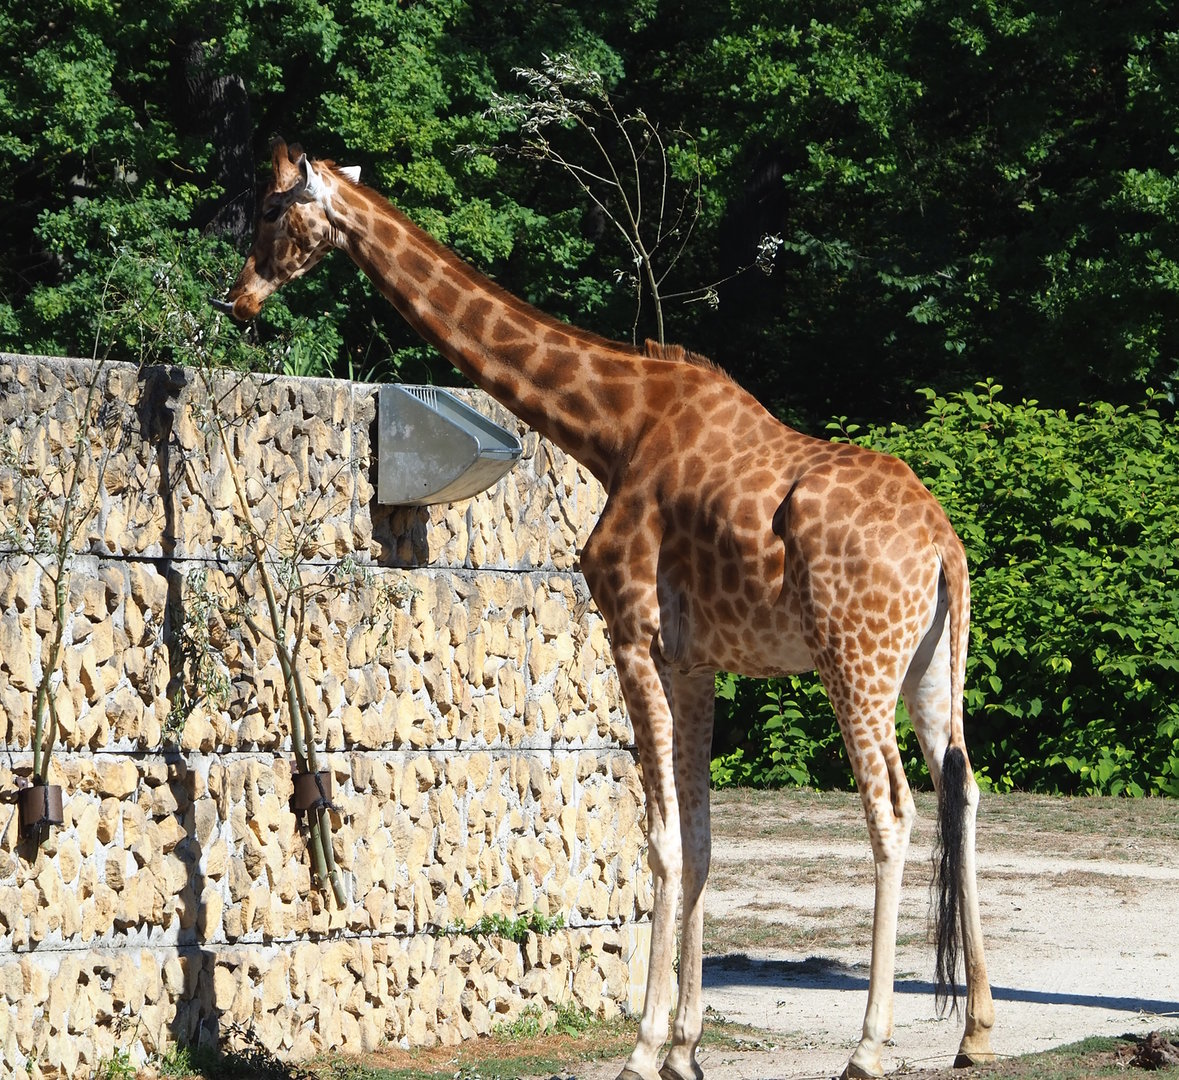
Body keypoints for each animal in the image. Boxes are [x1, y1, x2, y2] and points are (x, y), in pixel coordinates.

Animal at [215, 139, 995, 1080]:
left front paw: (645, 1046)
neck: (612, 427)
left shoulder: (630, 633)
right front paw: (687, 1047)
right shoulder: (695, 659)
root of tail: (943, 544)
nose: (236, 298)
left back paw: (869, 1047)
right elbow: (699, 838)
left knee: (893, 812)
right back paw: (975, 1031)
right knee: (963, 791)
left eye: (268, 207)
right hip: (929, 666)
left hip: (856, 659)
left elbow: (659, 839)